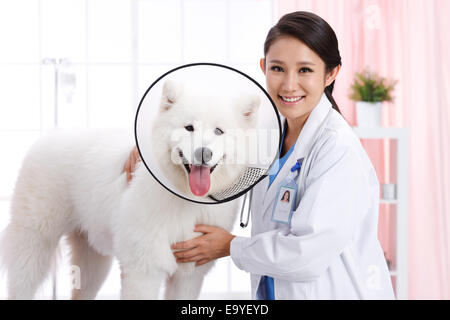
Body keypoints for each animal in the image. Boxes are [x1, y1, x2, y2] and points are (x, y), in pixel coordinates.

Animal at [0, 79, 260, 298]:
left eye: (219, 131)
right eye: (188, 128)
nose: (202, 153)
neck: (184, 195)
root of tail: (52, 134)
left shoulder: (189, 273)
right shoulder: (144, 269)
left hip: (93, 258)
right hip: (35, 243)